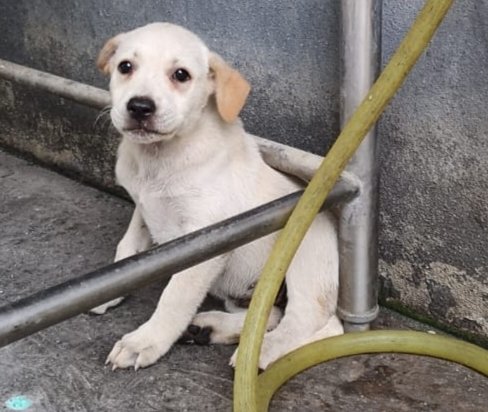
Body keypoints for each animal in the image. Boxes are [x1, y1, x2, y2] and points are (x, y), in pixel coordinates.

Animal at [94, 22, 344, 370]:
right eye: (125, 67)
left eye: (181, 75)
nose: (140, 107)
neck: (160, 159)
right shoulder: (143, 211)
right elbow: (127, 250)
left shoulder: (206, 238)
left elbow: (175, 296)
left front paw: (144, 341)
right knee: (269, 315)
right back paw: (209, 328)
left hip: (305, 255)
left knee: (317, 323)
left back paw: (262, 351)